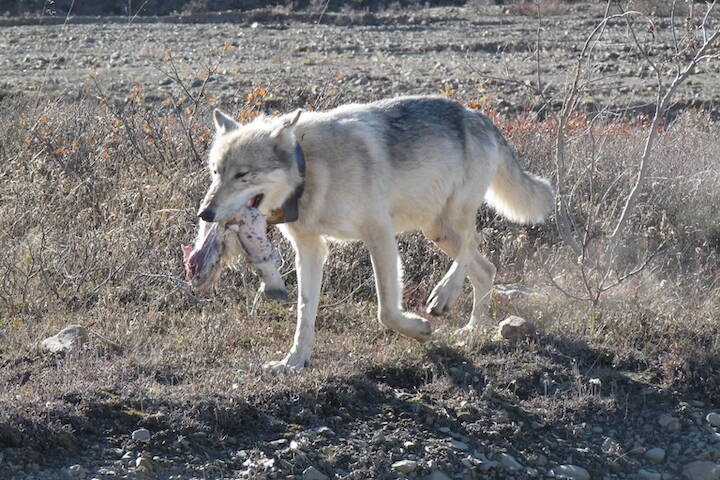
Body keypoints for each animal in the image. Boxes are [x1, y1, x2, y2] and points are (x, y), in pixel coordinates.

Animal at [194, 94, 556, 372]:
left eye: (242, 175)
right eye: (215, 172)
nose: (205, 213)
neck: (310, 169)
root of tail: (479, 115)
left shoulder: (378, 233)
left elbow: (386, 311)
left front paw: (419, 330)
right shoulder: (311, 249)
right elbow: (304, 314)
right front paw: (293, 362)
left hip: (454, 217)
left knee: (472, 247)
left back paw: (444, 296)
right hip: (437, 230)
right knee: (486, 269)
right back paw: (471, 332)